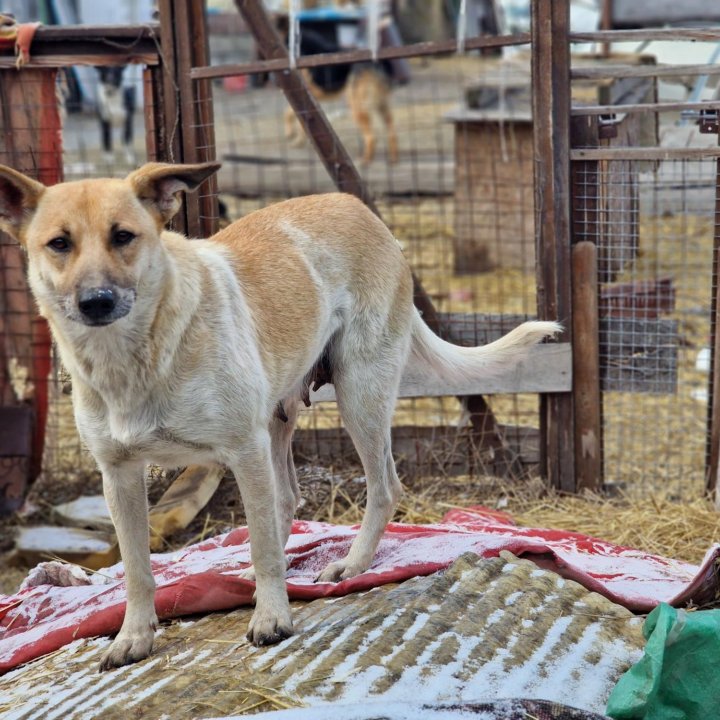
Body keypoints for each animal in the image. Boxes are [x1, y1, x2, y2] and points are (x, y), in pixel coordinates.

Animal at [0, 162, 560, 668]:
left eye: (123, 236)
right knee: (286, 497)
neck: (135, 357)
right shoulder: (119, 475)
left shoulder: (243, 450)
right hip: (277, 422)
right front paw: (133, 637)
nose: (96, 302)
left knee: (381, 487)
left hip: (359, 395)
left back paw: (351, 564)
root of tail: (362, 210)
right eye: (59, 244)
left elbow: (265, 546)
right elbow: (137, 570)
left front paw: (272, 617)